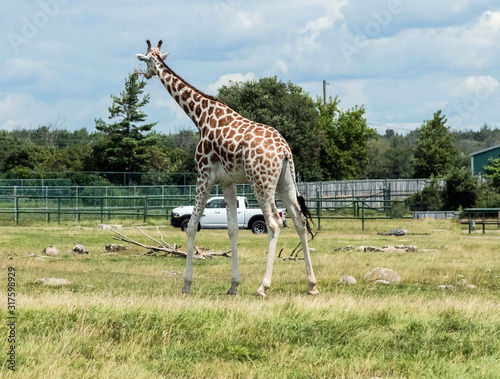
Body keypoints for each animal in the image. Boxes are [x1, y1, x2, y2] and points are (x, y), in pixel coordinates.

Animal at [135, 40, 318, 296]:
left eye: (148, 60)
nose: (144, 74)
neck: (200, 116)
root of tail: (284, 150)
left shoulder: (204, 174)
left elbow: (191, 226)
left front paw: (186, 284)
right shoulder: (228, 181)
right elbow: (232, 228)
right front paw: (234, 285)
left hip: (261, 182)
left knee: (273, 223)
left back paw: (263, 286)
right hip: (285, 182)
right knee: (300, 221)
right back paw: (312, 285)